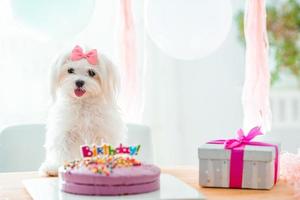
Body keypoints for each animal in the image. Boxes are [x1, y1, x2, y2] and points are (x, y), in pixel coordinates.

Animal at [39, 45, 125, 177]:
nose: (79, 82)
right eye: (70, 70)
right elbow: (61, 149)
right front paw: (55, 167)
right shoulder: (65, 132)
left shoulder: (102, 133)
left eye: (91, 72)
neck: (83, 103)